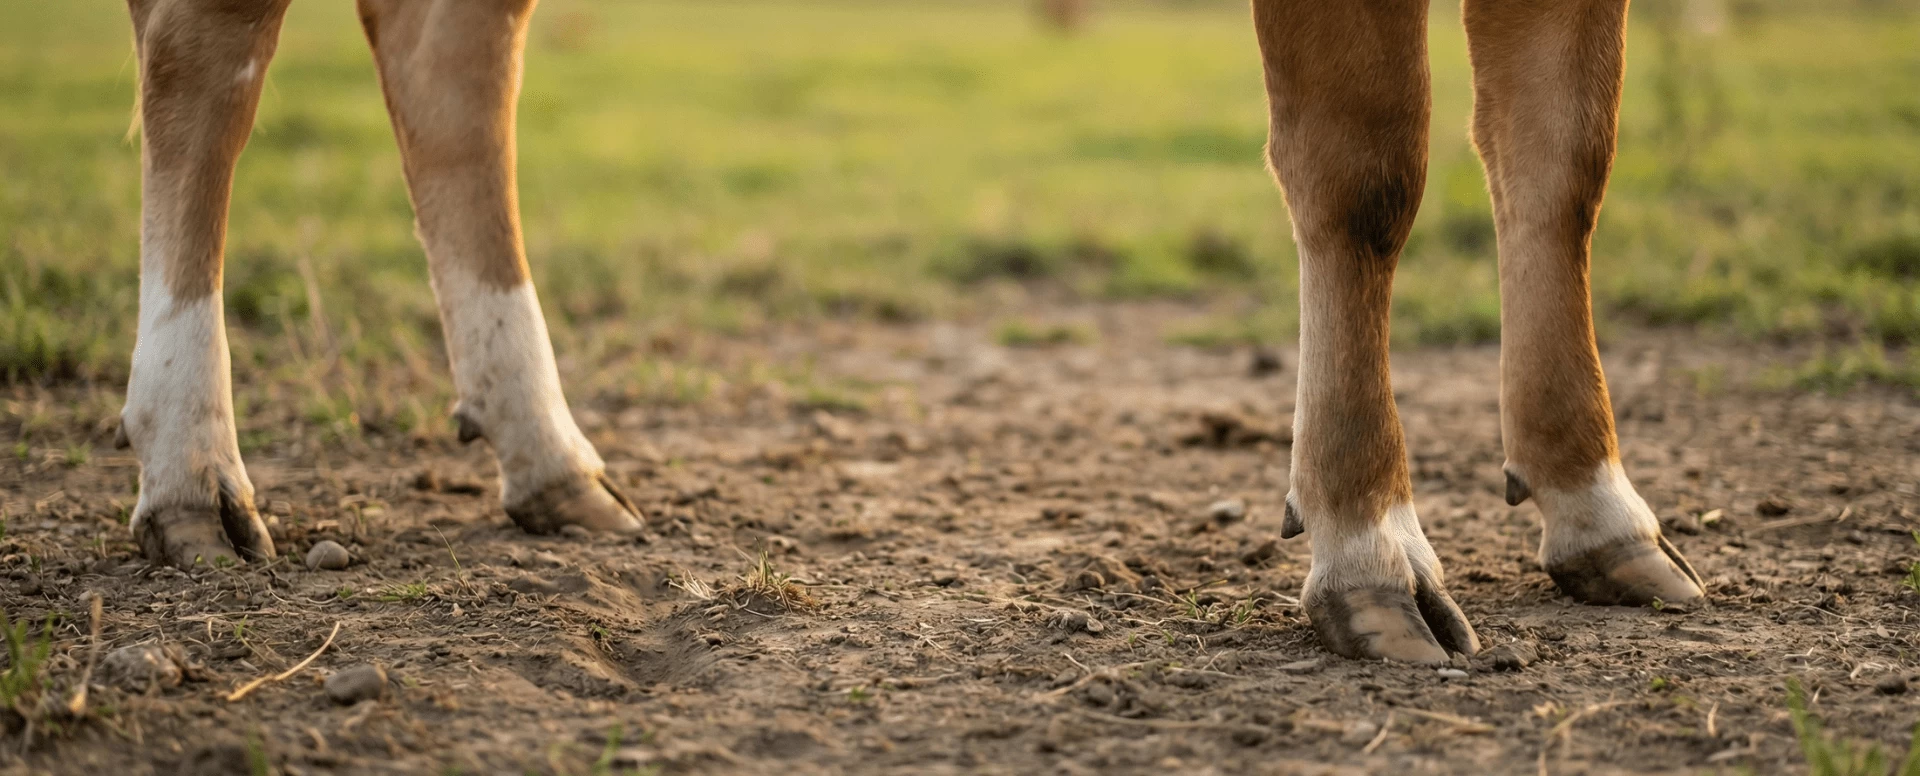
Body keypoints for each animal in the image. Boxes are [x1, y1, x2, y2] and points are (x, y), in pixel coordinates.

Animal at [115, 0, 1701, 664]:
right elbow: (1369, 165)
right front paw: (1368, 546)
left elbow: (1565, 156)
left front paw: (1596, 502)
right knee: (204, 56)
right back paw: (188, 471)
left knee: (448, 56)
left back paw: (545, 455)